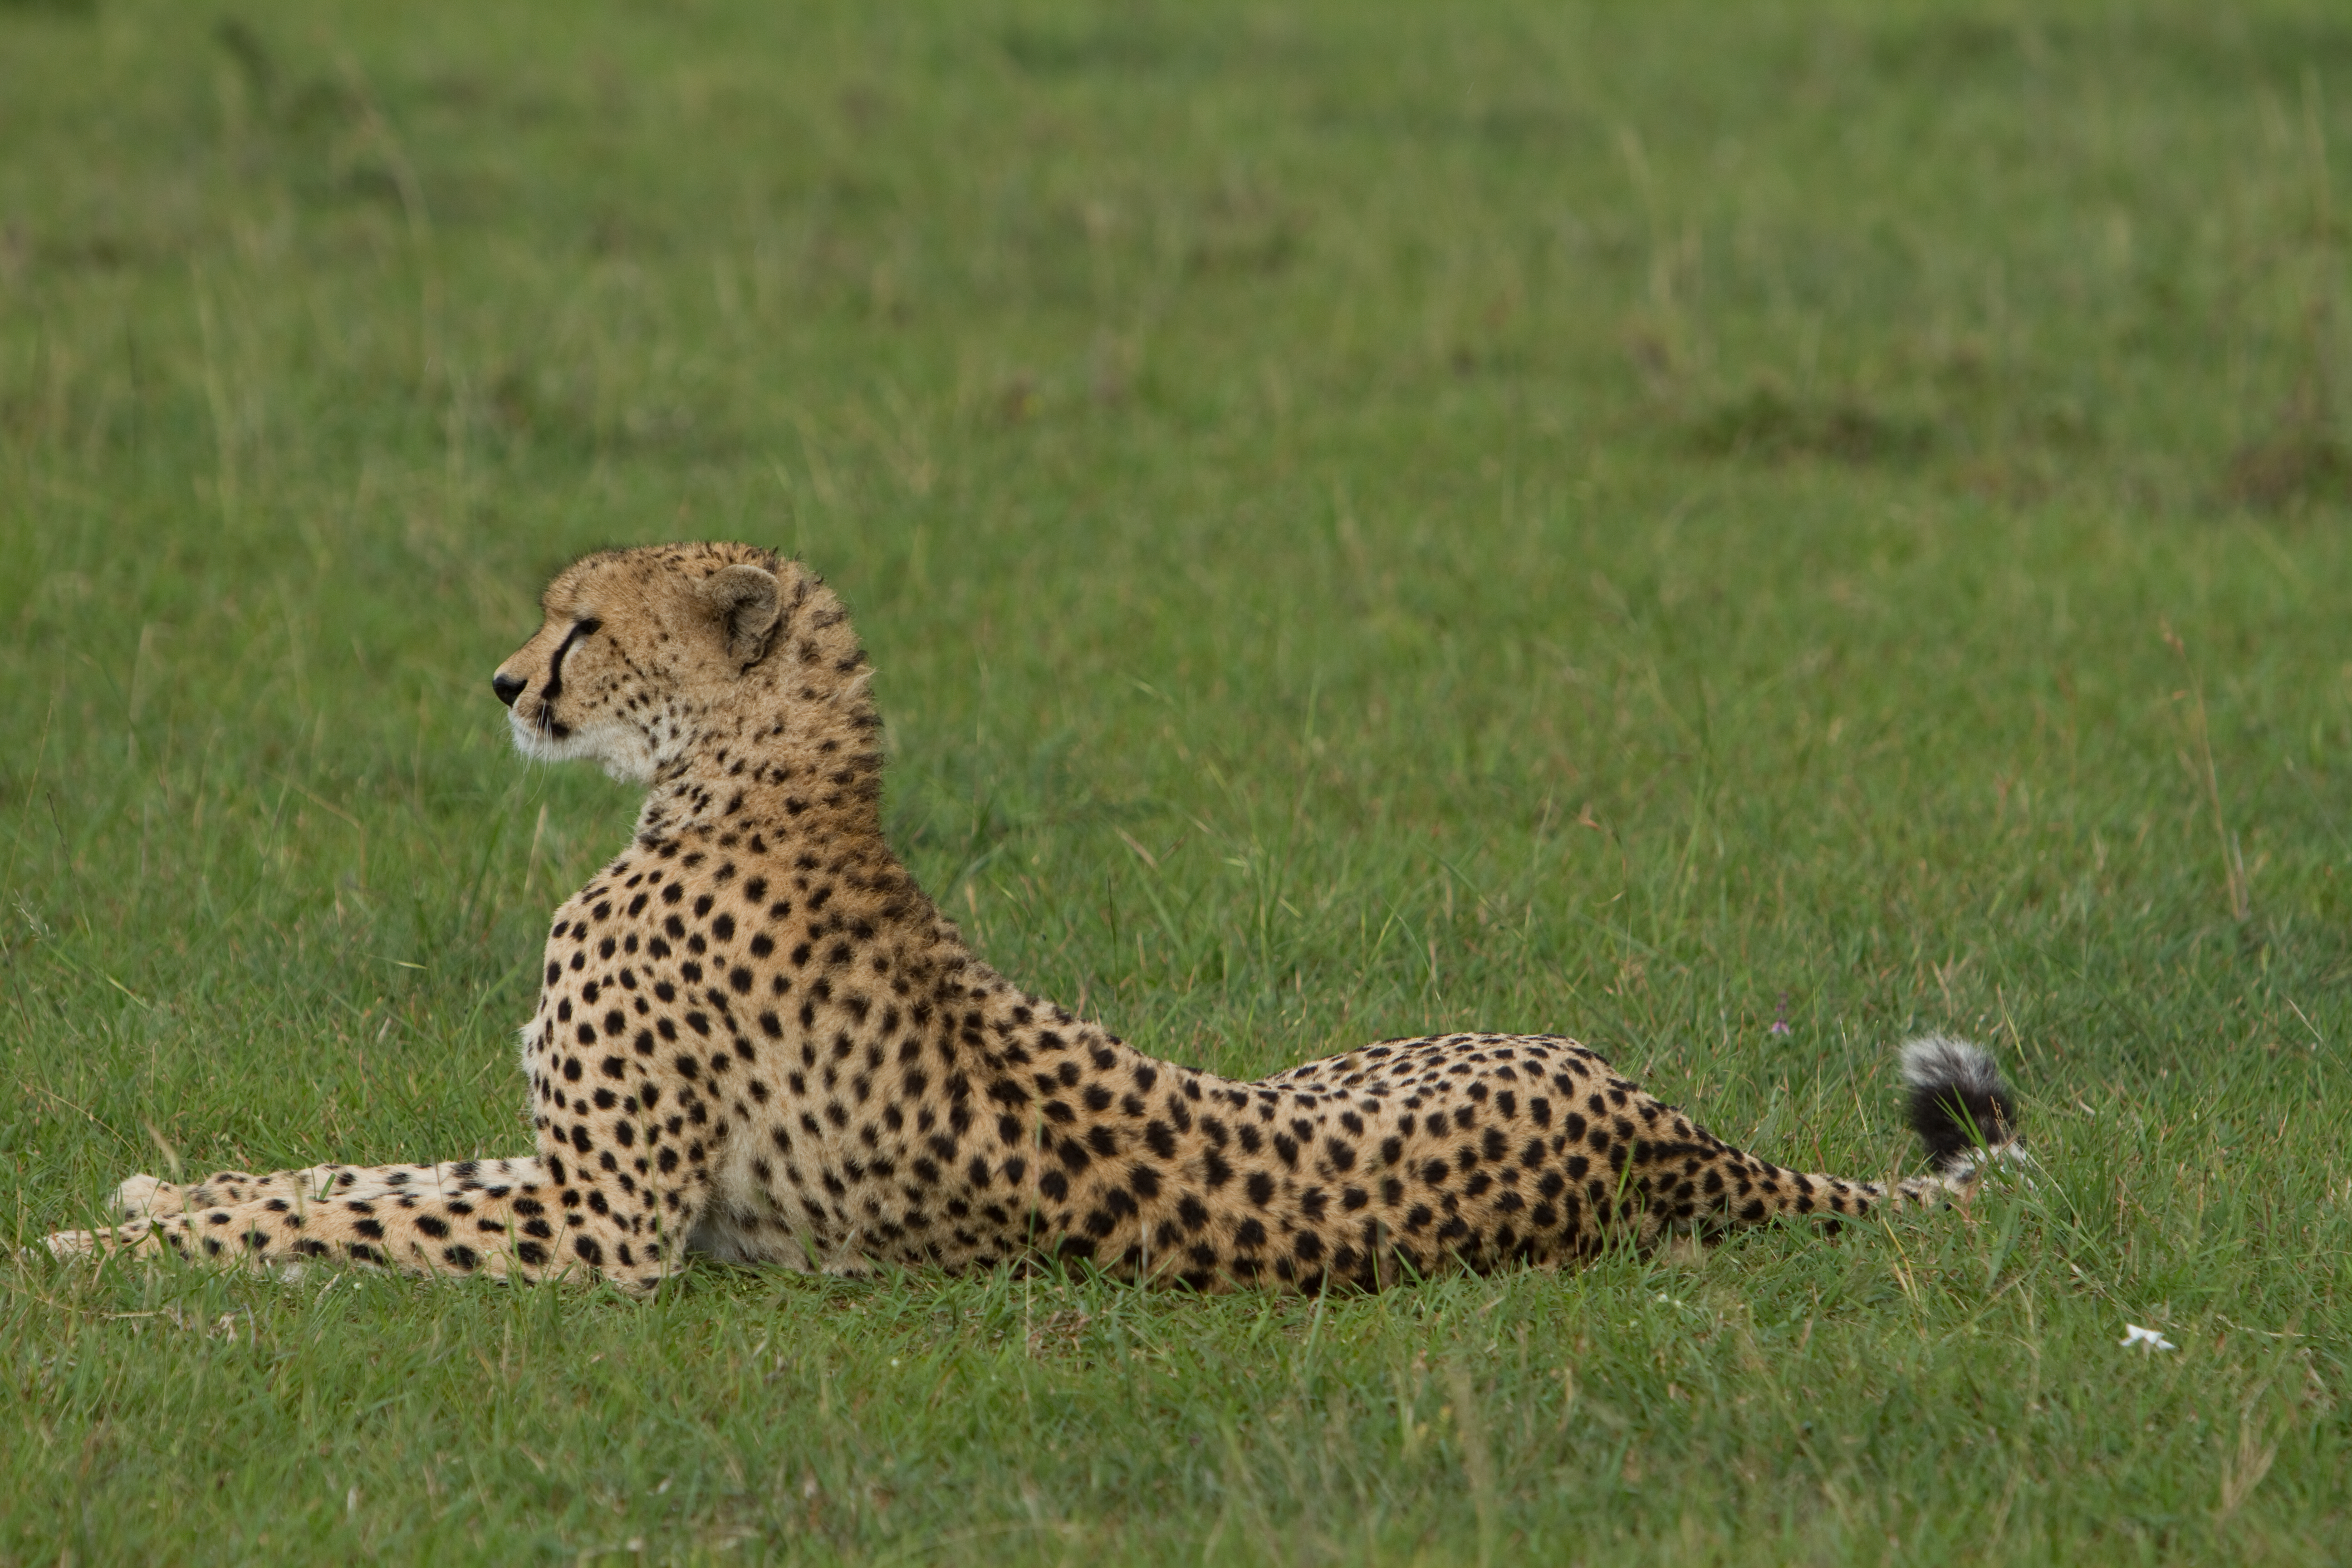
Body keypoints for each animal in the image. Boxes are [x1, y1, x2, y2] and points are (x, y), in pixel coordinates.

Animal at [44, 541, 2024, 1297]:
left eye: (585, 621)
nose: (505, 681)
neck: (733, 790)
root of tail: (1654, 1126)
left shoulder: (613, 1230)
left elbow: (359, 1211)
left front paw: (100, 1245)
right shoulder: (578, 1179)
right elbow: (360, 1173)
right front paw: (156, 1193)